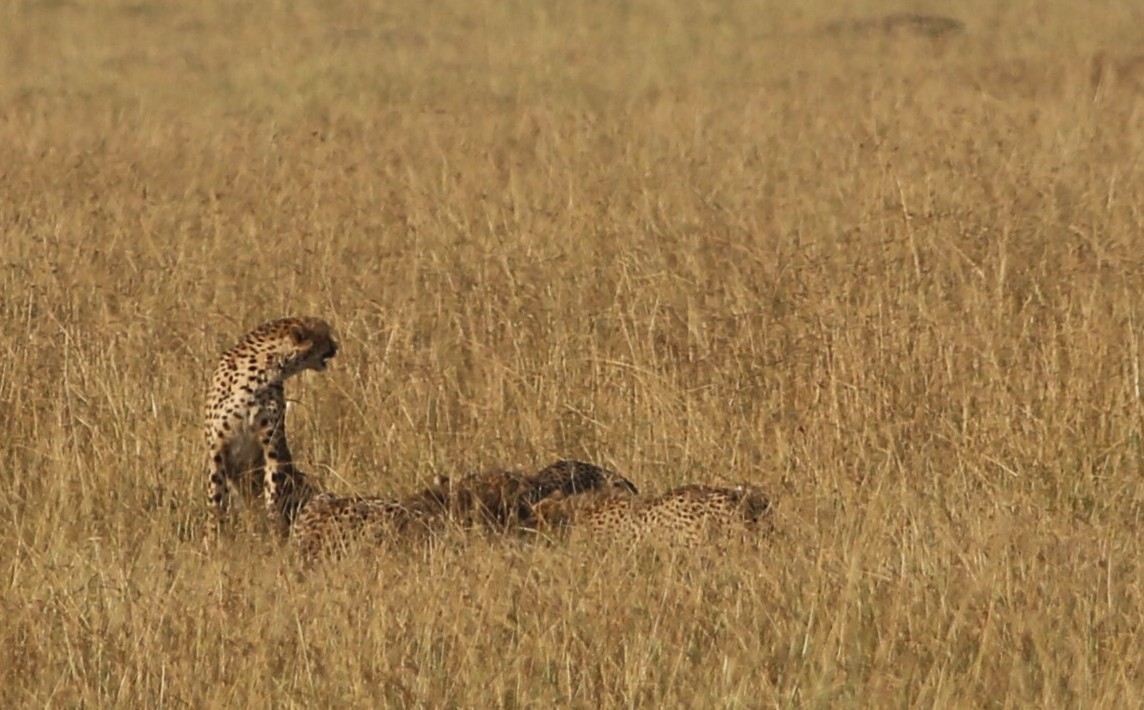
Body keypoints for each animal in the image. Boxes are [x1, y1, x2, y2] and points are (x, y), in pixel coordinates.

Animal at [204, 315, 336, 537]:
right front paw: (212, 536)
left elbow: (272, 489)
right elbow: (216, 497)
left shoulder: (271, 444)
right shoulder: (217, 448)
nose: (336, 347)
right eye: (325, 335)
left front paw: (275, 533)